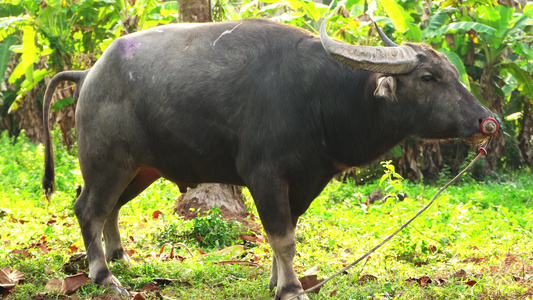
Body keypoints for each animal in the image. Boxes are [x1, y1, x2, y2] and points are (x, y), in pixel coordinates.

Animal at [42, 18, 494, 300]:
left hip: (140, 168)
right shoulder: (265, 175)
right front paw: (291, 289)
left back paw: (119, 256)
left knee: (110, 208)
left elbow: (288, 232)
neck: (322, 97)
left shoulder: (307, 180)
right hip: (107, 162)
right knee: (88, 208)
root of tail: (89, 74)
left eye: (454, 73)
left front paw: (276, 282)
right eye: (428, 77)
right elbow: (281, 236)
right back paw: (105, 277)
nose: (485, 121)